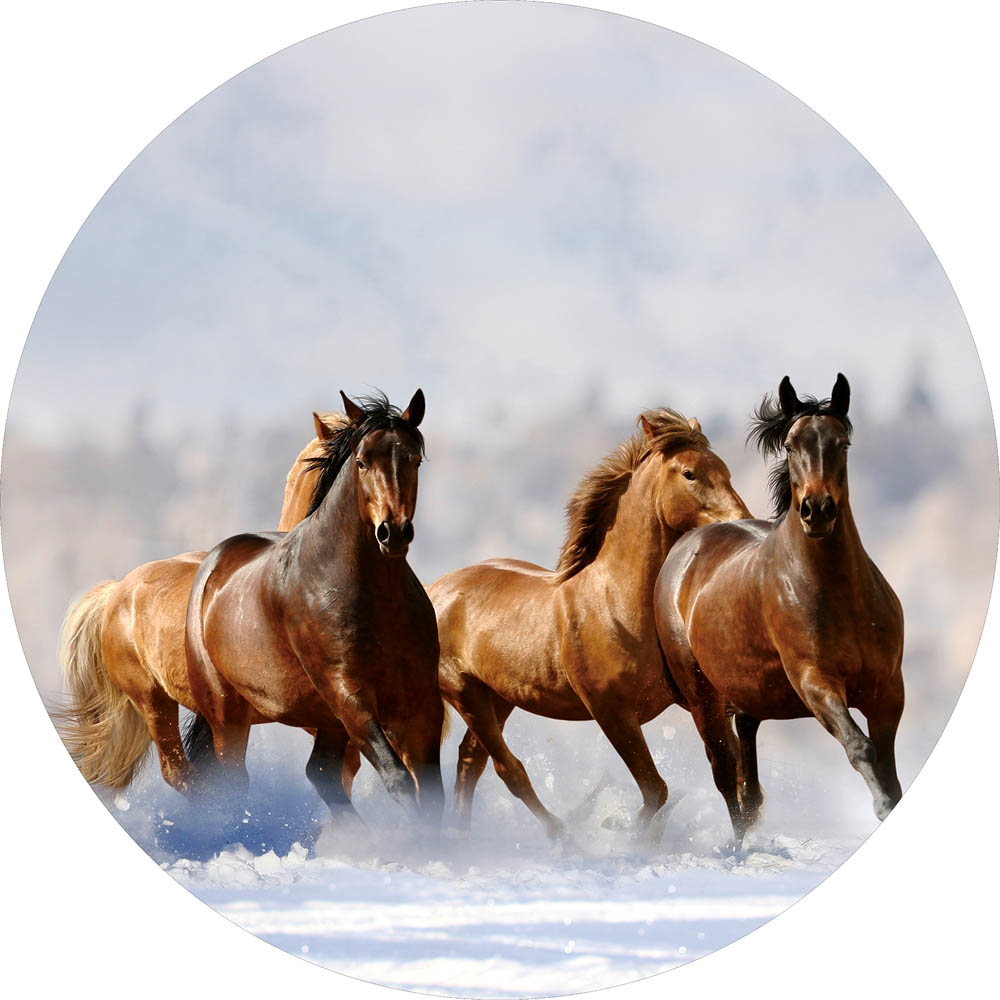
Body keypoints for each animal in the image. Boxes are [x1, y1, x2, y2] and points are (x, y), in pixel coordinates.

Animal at [184, 390, 444, 828]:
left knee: (321, 772)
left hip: (325, 719)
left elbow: (431, 790)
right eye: (362, 461)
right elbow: (399, 779)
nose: (393, 532)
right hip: (228, 714)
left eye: (413, 459)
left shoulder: (421, 702)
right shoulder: (350, 696)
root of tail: (212, 566)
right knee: (233, 783)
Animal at [430, 408, 751, 839]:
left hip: (498, 697)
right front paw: (620, 828)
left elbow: (726, 769)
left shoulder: (702, 700)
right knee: (507, 769)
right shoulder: (611, 712)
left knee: (470, 763)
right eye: (690, 473)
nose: (742, 523)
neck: (616, 603)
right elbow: (656, 790)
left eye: (725, 469)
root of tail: (434, 590)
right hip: (466, 694)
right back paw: (562, 835)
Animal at [653, 374, 904, 845]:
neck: (839, 595)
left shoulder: (888, 690)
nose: (817, 510)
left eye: (842, 443)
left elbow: (888, 766)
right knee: (724, 771)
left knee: (747, 768)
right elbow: (860, 746)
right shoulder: (815, 682)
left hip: (747, 691)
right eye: (790, 445)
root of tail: (683, 550)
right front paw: (881, 808)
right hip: (702, 696)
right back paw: (738, 845)